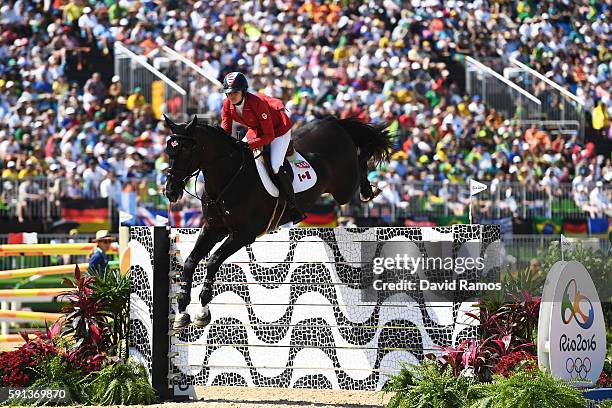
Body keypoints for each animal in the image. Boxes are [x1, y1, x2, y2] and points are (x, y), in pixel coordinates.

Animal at [164, 114, 392, 328]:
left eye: (185, 150)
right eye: (169, 151)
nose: (170, 192)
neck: (228, 178)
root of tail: (333, 122)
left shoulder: (243, 234)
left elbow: (212, 261)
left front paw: (203, 311)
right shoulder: (213, 228)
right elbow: (190, 261)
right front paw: (182, 311)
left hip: (344, 187)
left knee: (361, 163)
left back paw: (368, 190)